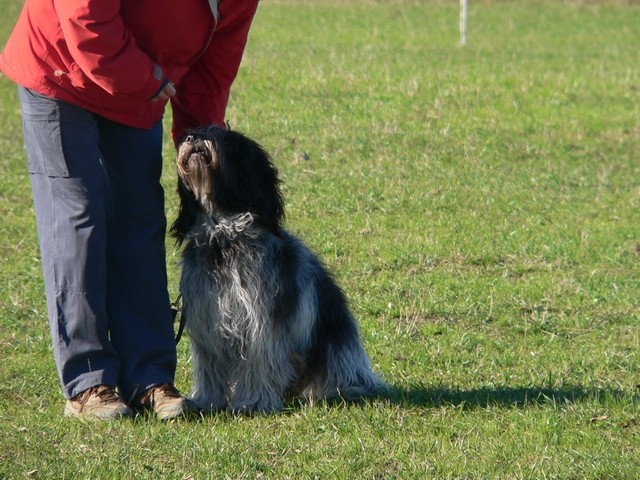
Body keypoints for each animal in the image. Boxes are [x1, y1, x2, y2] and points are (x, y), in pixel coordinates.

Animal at [171, 126, 384, 412]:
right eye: (196, 130)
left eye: (227, 139)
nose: (192, 138)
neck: (224, 236)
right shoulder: (206, 319)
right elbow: (209, 368)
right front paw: (206, 401)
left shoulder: (259, 319)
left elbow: (258, 359)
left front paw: (253, 402)